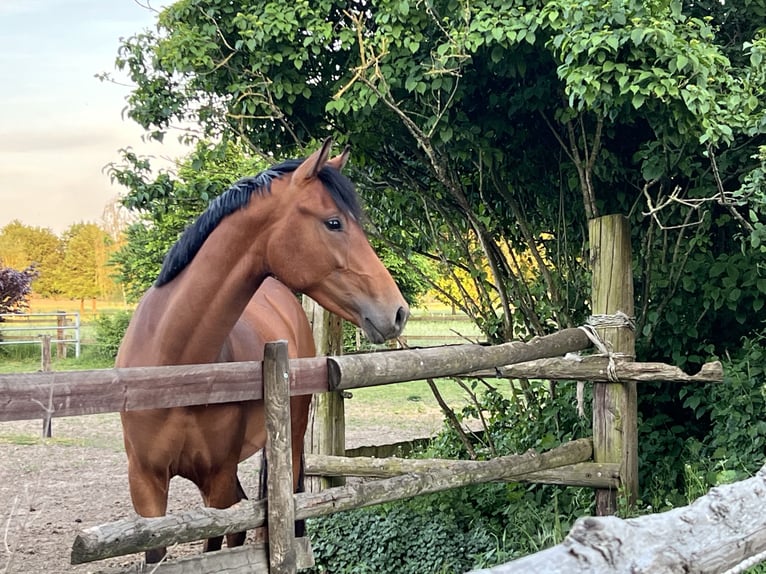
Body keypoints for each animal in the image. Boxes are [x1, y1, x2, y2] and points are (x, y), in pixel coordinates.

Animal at [115, 140, 408, 564]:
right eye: (333, 222)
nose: (398, 311)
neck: (174, 367)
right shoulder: (145, 484)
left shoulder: (217, 477)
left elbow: (222, 542)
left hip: (291, 440)